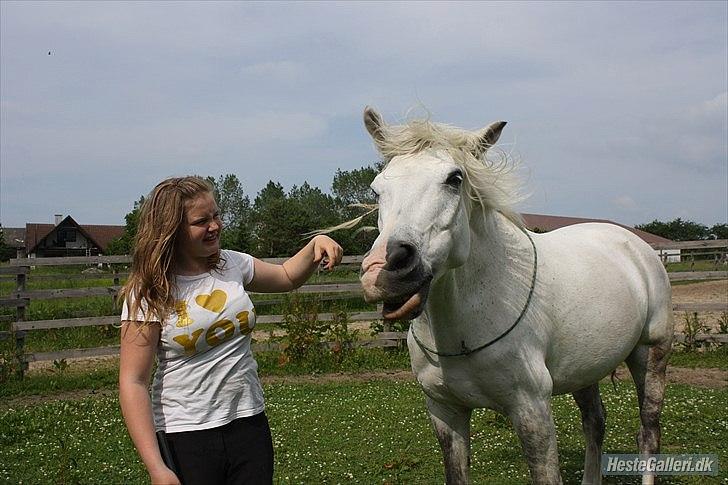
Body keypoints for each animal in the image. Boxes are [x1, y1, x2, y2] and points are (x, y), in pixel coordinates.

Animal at [362, 108, 672, 482]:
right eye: (377, 189)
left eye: (455, 179)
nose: (386, 269)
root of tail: (639, 248)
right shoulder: (445, 411)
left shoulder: (531, 411)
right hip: (586, 369)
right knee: (595, 422)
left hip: (651, 355)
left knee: (648, 432)